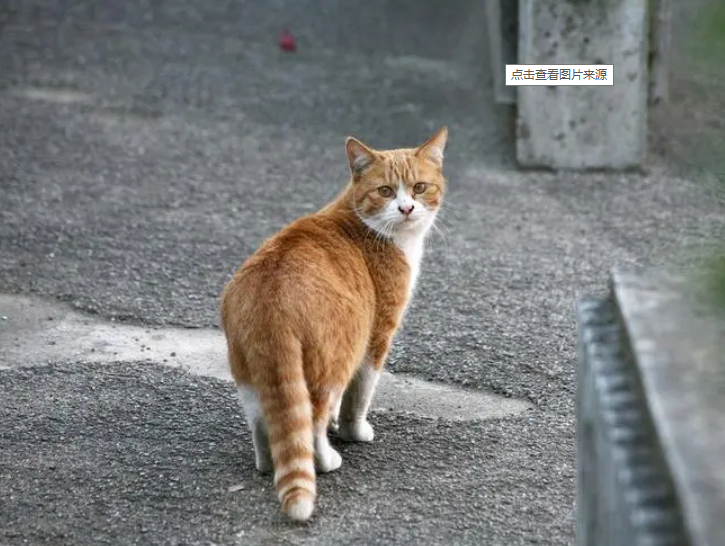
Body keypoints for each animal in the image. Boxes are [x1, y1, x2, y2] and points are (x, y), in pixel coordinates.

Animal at [219, 125, 446, 520]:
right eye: (385, 191)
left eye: (419, 187)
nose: (406, 208)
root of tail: (272, 297)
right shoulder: (376, 336)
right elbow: (359, 396)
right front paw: (354, 430)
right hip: (334, 361)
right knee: (311, 424)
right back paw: (326, 460)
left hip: (248, 371)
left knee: (265, 422)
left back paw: (267, 462)